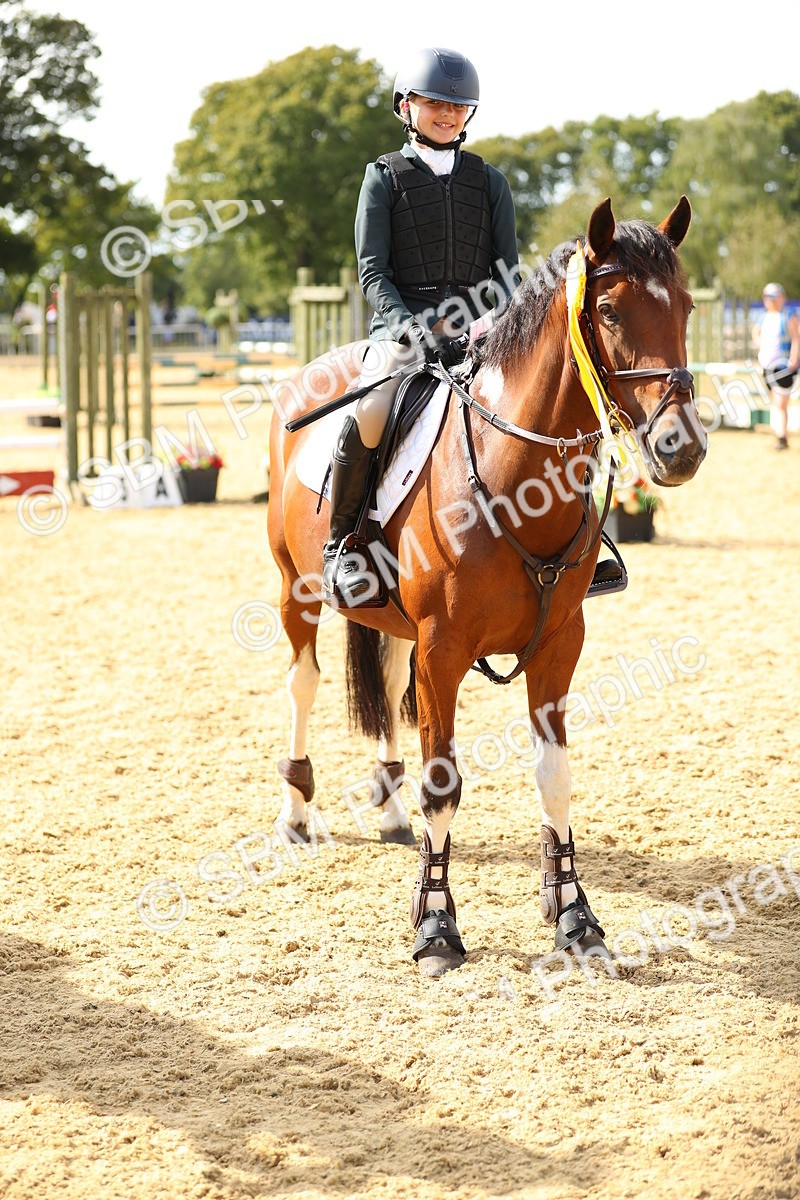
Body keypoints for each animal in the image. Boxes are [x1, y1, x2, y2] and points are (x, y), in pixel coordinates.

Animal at [267, 196, 707, 977]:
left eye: (685, 305)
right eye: (612, 311)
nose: (680, 447)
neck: (512, 479)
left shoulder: (559, 645)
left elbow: (554, 778)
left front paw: (575, 918)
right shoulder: (443, 649)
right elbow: (444, 782)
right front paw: (437, 927)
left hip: (394, 624)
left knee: (385, 683)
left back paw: (389, 811)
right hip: (298, 590)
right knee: (304, 682)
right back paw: (295, 813)